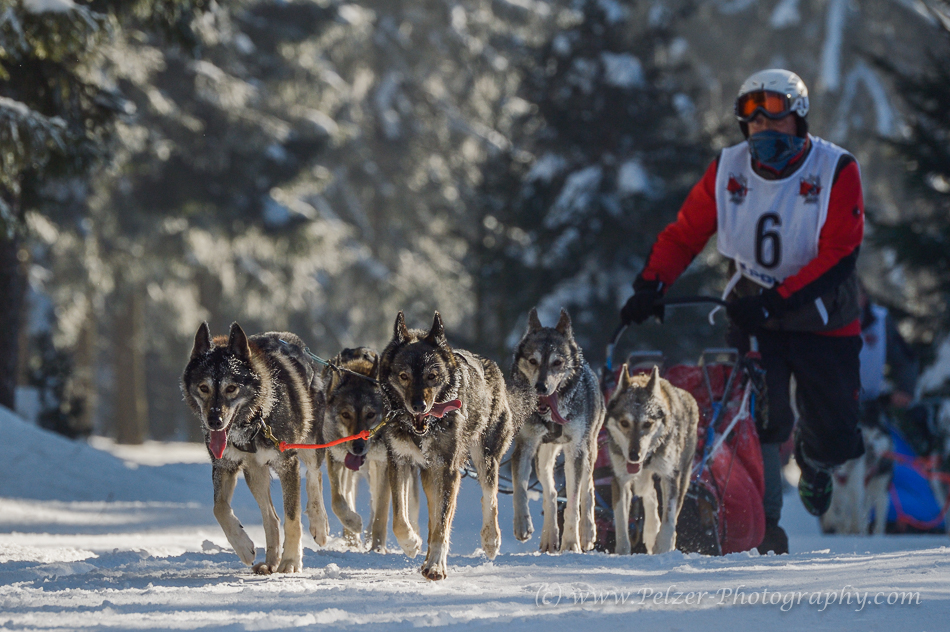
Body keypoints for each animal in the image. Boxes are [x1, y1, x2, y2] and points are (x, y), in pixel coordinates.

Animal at [182, 324, 330, 576]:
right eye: (204, 388)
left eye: (231, 388)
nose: (214, 421)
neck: (255, 419)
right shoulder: (224, 465)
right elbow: (219, 508)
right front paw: (243, 547)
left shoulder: (287, 464)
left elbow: (292, 518)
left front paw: (291, 561)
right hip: (255, 473)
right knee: (271, 517)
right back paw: (270, 561)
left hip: (310, 444)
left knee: (314, 474)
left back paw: (318, 523)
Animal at [322, 348, 418, 552]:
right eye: (345, 414)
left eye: (371, 414)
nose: (357, 447)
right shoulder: (335, 457)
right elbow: (338, 501)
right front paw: (353, 523)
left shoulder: (384, 464)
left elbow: (381, 512)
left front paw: (377, 549)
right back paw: (352, 539)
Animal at [378, 314, 520, 580]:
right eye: (403, 376)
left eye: (432, 376)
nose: (419, 406)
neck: (426, 428)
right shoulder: (399, 461)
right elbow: (400, 518)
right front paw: (411, 543)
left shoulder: (449, 469)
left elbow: (443, 525)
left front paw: (436, 566)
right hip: (431, 475)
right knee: (433, 516)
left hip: (484, 457)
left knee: (489, 496)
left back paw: (491, 540)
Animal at [512, 308, 604, 552]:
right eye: (532, 361)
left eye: (557, 362)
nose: (541, 387)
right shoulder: (525, 446)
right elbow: (521, 488)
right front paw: (522, 525)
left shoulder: (576, 451)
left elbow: (573, 501)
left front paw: (571, 543)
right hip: (544, 456)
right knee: (551, 493)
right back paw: (549, 537)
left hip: (589, 449)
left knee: (588, 490)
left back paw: (587, 532)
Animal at [608, 366, 704, 552]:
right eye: (624, 423)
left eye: (647, 424)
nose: (634, 455)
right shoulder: (620, 480)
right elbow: (621, 523)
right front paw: (622, 551)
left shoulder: (670, 476)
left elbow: (669, 519)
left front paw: (664, 546)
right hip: (639, 481)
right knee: (649, 492)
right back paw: (651, 530)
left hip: (683, 476)